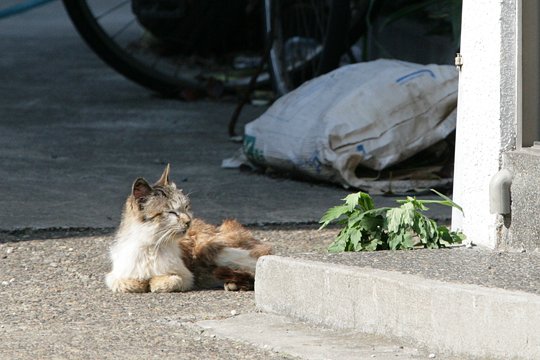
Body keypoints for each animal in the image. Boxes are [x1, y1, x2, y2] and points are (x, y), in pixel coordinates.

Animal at [105, 165, 272, 292]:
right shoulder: (115, 276)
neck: (152, 245)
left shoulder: (186, 276)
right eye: (171, 212)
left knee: (256, 267)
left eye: (185, 207)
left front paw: (155, 282)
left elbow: (167, 281)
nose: (188, 221)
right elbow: (127, 283)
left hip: (209, 249)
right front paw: (140, 282)